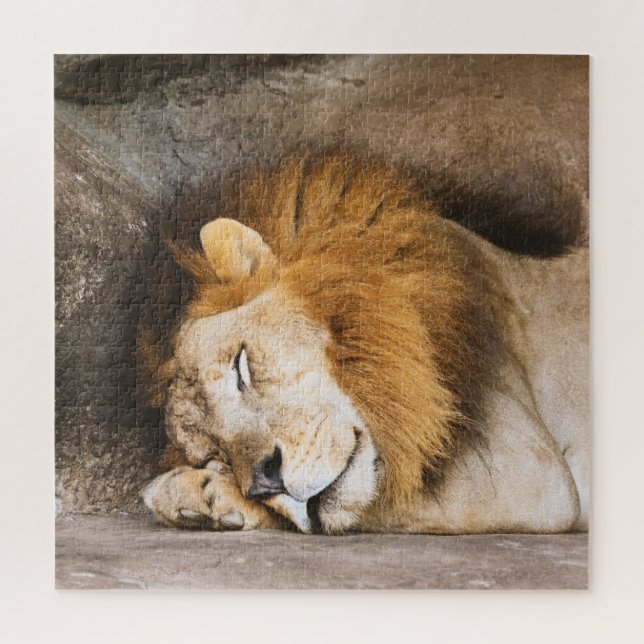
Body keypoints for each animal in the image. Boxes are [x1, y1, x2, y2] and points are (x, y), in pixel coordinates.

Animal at [142, 156, 589, 534]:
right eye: (213, 455)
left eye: (241, 367)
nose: (267, 482)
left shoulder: (529, 471)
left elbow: (375, 498)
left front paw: (190, 492)